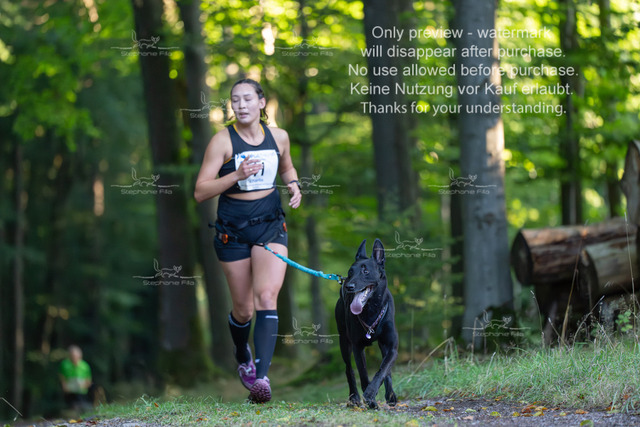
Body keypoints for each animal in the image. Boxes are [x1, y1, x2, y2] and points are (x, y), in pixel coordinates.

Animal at [335, 238, 398, 409]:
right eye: (350, 272)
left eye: (365, 271)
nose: (348, 286)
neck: (371, 309)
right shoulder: (357, 347)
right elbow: (363, 375)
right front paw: (369, 398)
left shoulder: (391, 346)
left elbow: (383, 370)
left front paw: (375, 393)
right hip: (344, 341)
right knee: (348, 369)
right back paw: (354, 397)